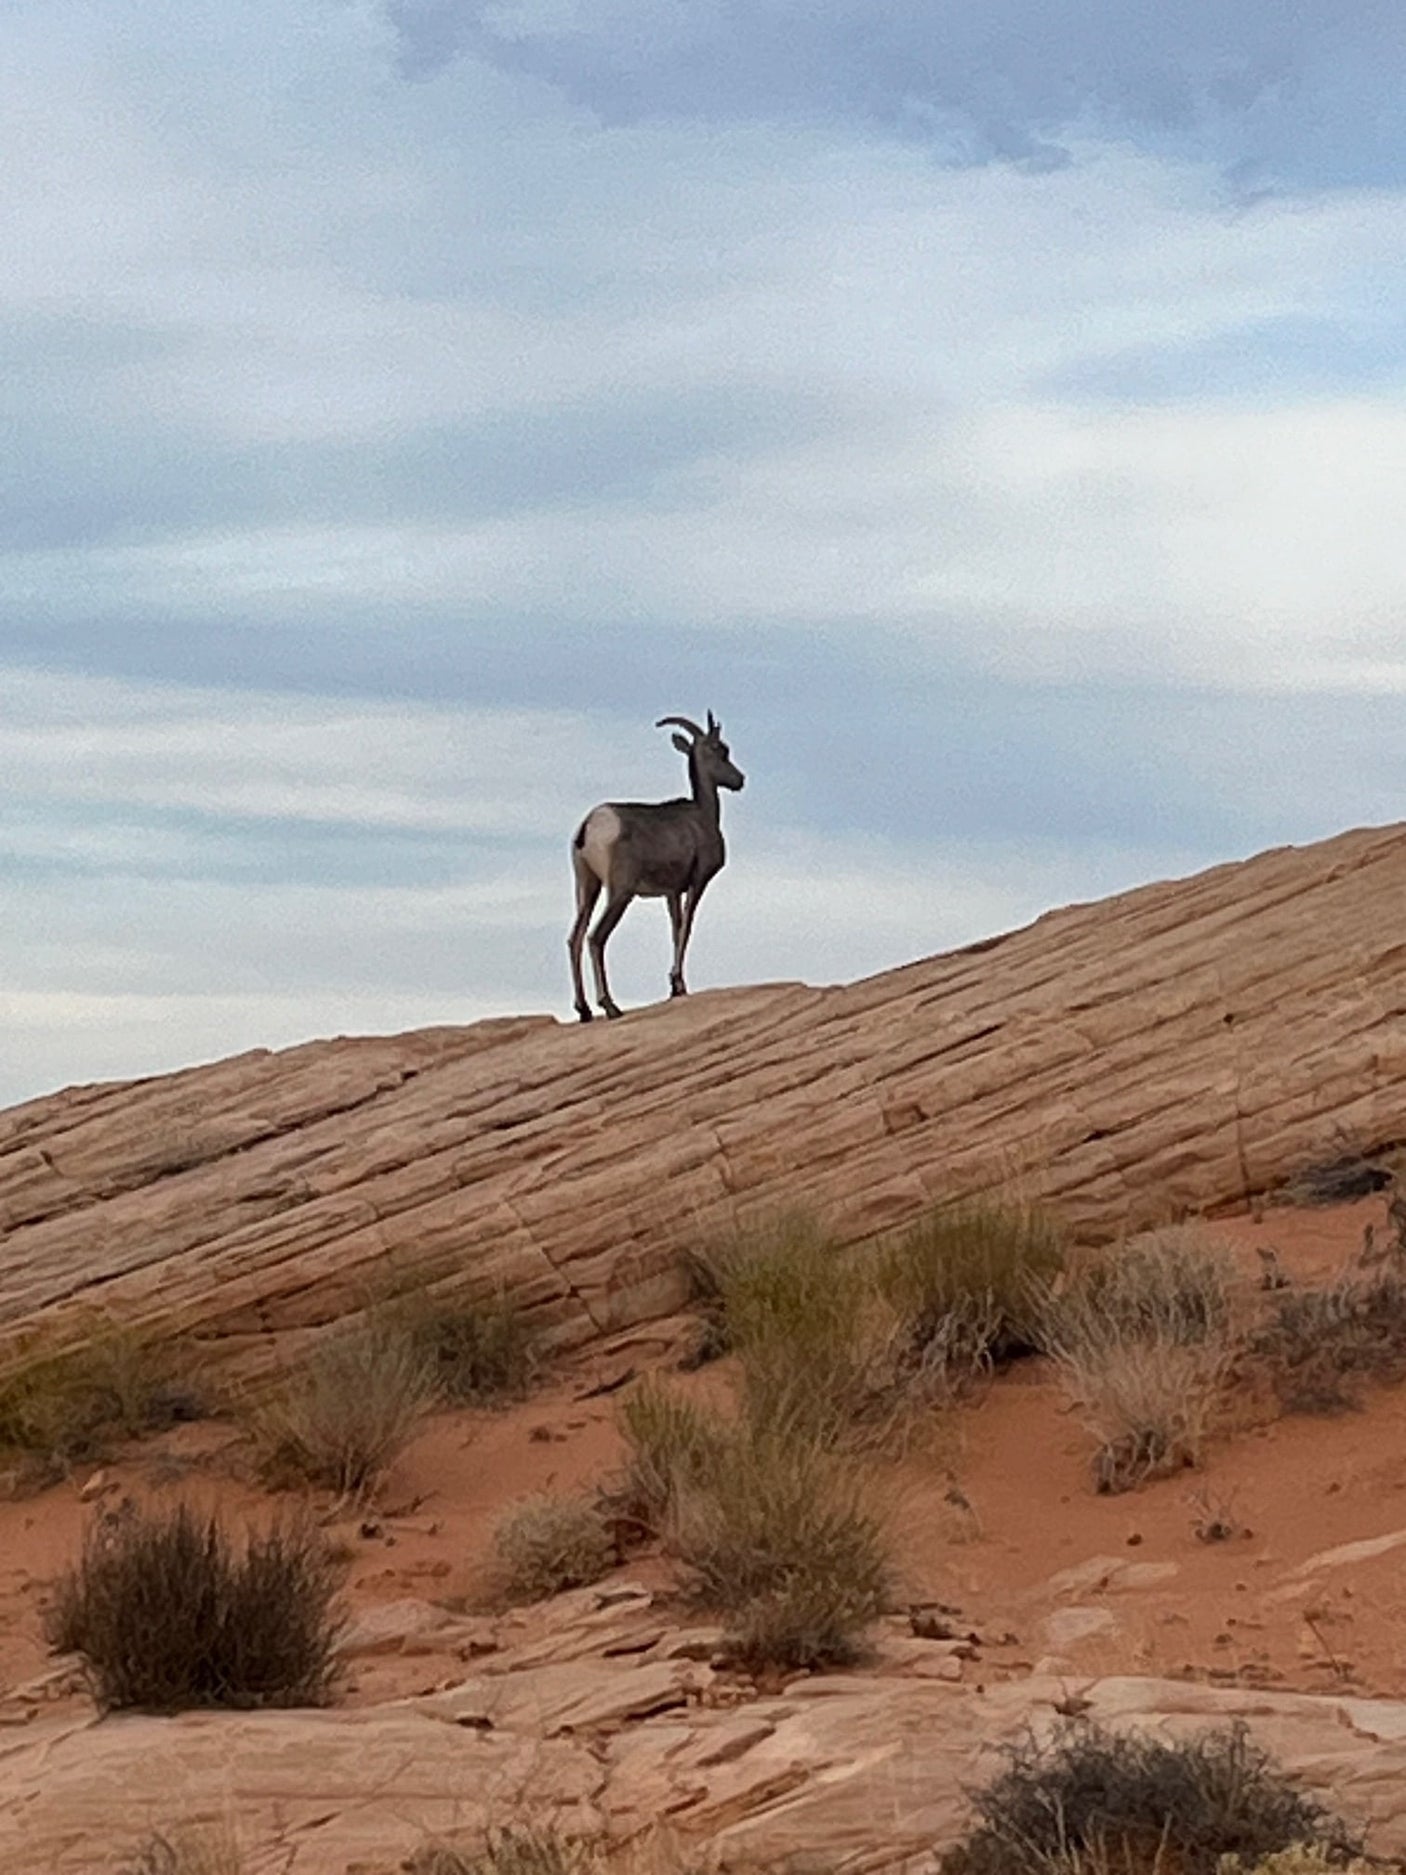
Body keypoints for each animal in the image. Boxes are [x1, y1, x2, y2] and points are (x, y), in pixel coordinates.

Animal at [568, 711, 745, 1022]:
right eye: (719, 749)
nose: (740, 780)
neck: (702, 816)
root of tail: (591, 824)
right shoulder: (698, 881)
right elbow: (686, 928)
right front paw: (678, 985)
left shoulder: (671, 892)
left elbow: (675, 930)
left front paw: (676, 987)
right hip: (619, 892)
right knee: (595, 937)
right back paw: (610, 1007)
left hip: (587, 887)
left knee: (575, 938)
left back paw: (584, 1011)